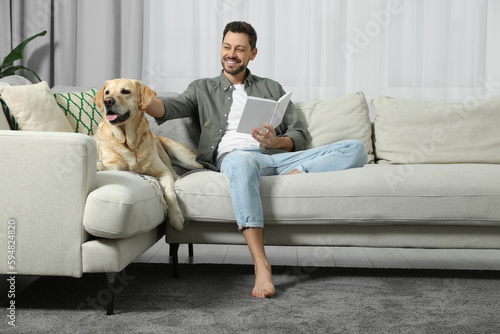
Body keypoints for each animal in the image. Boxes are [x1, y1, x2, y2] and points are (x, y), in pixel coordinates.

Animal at [94, 78, 203, 231]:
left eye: (125, 91)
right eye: (107, 92)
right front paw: (97, 166)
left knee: (174, 174)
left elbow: (170, 193)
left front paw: (176, 217)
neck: (130, 142)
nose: (107, 101)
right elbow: (109, 167)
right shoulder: (115, 165)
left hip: (163, 155)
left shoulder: (163, 172)